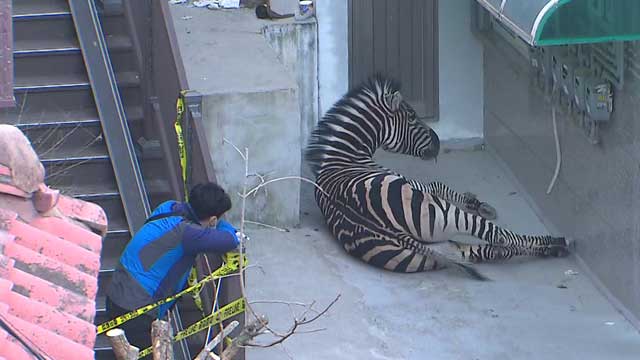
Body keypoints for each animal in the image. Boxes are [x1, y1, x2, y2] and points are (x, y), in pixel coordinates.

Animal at [304, 74, 568, 280]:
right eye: (412, 116)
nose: (439, 143)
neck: (344, 156)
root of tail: (385, 230)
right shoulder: (405, 181)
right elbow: (436, 184)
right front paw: (478, 204)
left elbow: (436, 185)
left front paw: (474, 201)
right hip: (446, 216)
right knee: (499, 237)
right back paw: (556, 243)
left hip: (435, 252)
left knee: (490, 250)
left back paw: (550, 251)